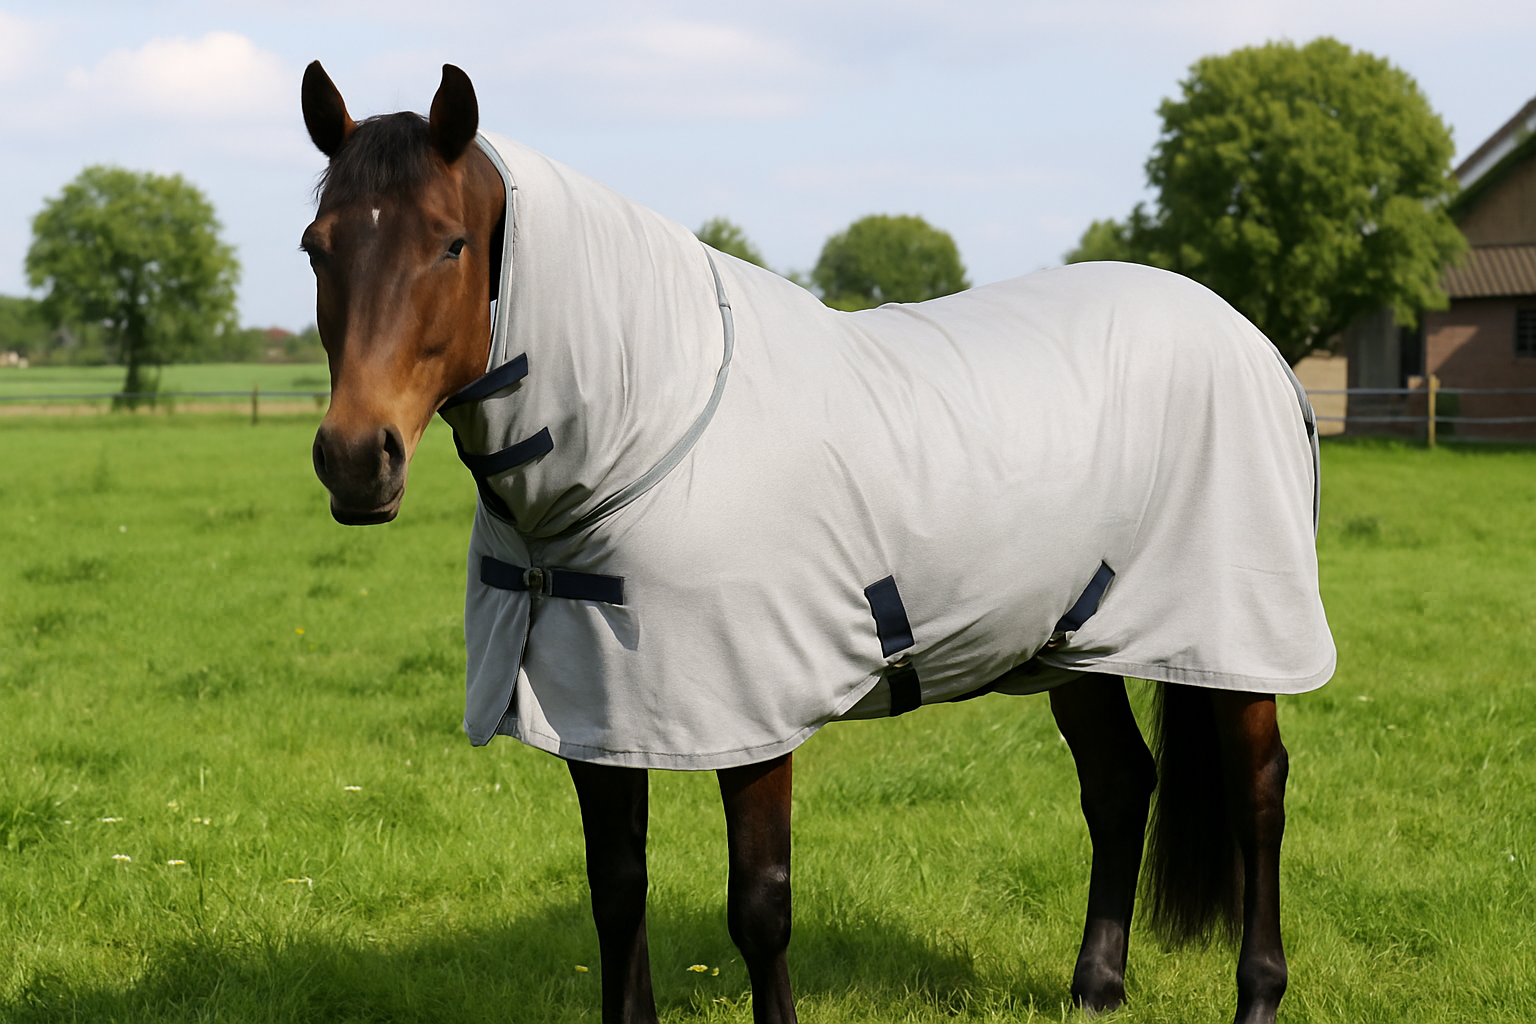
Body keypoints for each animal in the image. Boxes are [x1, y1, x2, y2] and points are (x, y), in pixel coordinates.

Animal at [300, 61, 1332, 1024]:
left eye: (451, 242)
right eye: (316, 247)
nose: (355, 460)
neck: (656, 420)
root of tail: (1253, 342)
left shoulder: (752, 711)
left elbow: (759, 908)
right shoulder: (600, 712)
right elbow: (616, 893)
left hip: (1235, 638)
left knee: (1258, 795)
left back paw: (1258, 994)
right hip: (1073, 641)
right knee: (1119, 784)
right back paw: (1096, 988)